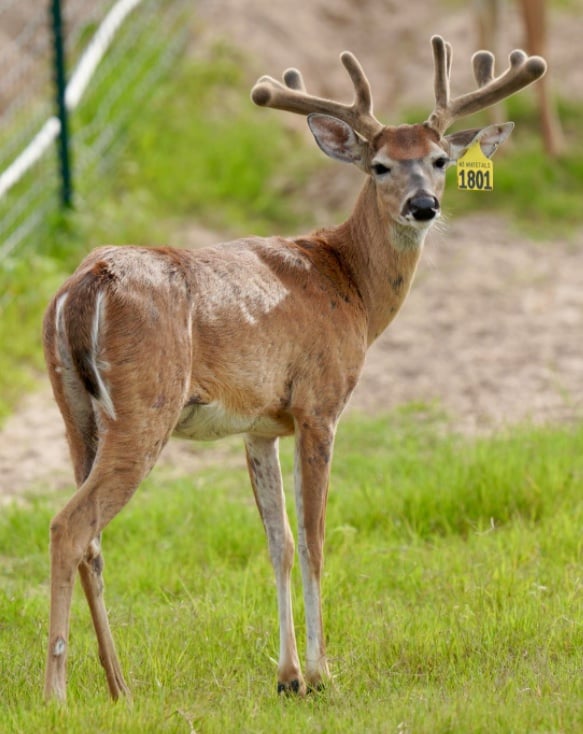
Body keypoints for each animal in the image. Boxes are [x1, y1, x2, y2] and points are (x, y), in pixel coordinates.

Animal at [42, 35, 546, 702]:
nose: (424, 205)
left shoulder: (260, 425)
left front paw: (287, 677)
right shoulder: (320, 404)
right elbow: (314, 539)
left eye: (439, 160)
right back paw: (57, 692)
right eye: (380, 166)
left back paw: (120, 687)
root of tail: (84, 286)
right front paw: (323, 672)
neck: (351, 284)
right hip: (145, 404)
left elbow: (277, 541)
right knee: (69, 525)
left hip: (74, 410)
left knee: (92, 539)